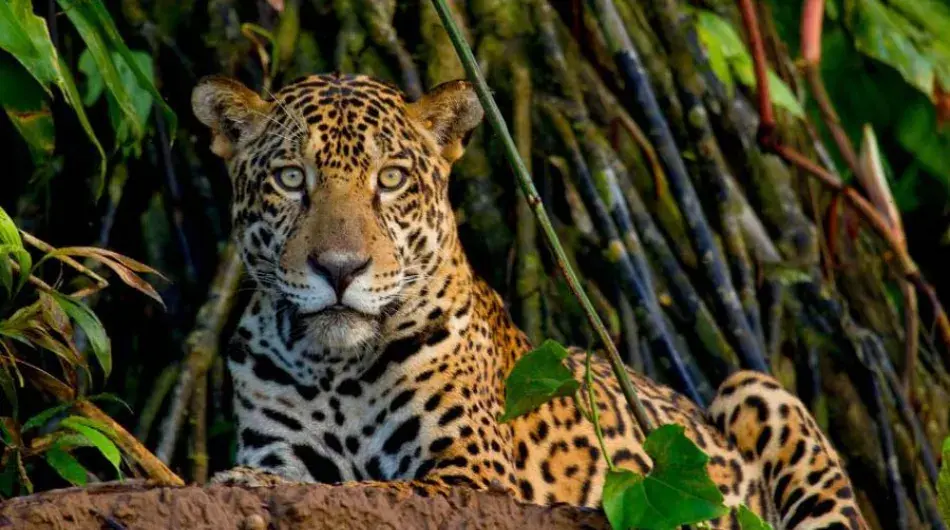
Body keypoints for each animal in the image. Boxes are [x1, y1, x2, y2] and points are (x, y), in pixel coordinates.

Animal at [191, 72, 869, 530]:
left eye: (390, 179)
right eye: (290, 179)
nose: (339, 269)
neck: (334, 368)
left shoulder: (470, 473)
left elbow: (372, 491)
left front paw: (244, 481)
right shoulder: (286, 447)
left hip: (757, 389)